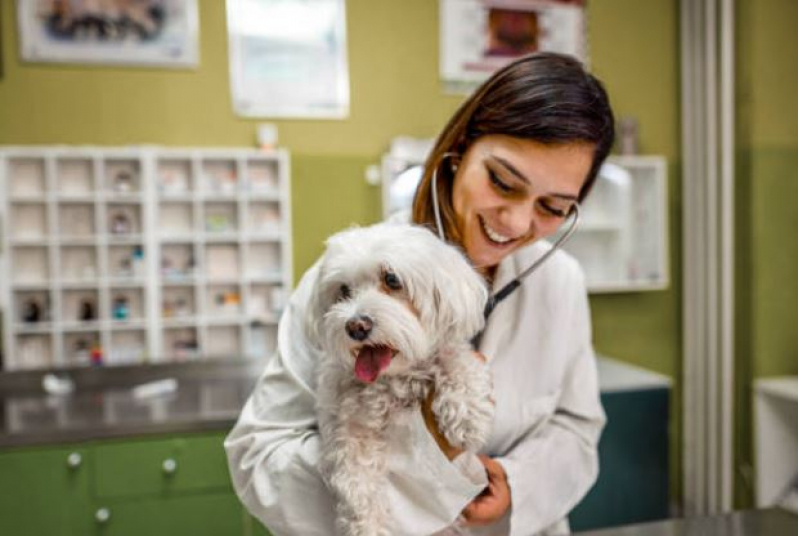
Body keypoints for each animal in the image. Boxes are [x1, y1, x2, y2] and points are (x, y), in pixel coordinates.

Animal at [310, 223, 496, 536]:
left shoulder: (449, 353)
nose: (356, 325)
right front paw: (366, 527)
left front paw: (467, 416)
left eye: (392, 279)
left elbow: (457, 361)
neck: (393, 379)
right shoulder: (349, 429)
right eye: (344, 290)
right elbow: (357, 483)